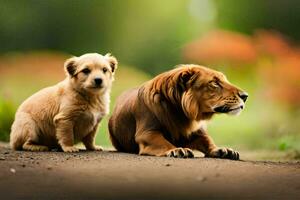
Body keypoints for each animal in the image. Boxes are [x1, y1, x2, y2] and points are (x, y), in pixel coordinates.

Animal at [109, 65, 247, 160]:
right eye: (214, 83)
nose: (245, 96)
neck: (181, 112)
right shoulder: (146, 133)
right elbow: (163, 142)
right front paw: (178, 150)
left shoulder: (198, 132)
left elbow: (208, 141)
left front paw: (223, 150)